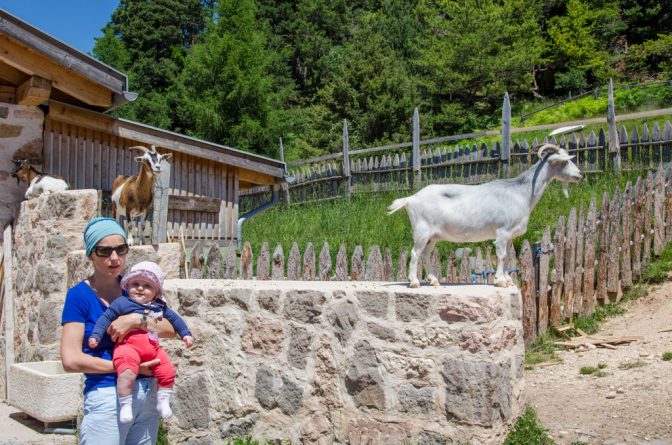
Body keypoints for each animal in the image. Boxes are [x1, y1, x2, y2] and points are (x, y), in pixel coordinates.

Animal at [388, 143, 584, 288]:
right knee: (415, 253)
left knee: (426, 254)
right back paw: (414, 282)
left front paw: (508, 280)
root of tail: (411, 198)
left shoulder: (510, 235)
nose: (580, 175)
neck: (521, 192)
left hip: (433, 236)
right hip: (422, 231)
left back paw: (434, 280)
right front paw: (500, 281)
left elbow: (508, 255)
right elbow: (502, 255)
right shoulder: (502, 232)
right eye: (565, 162)